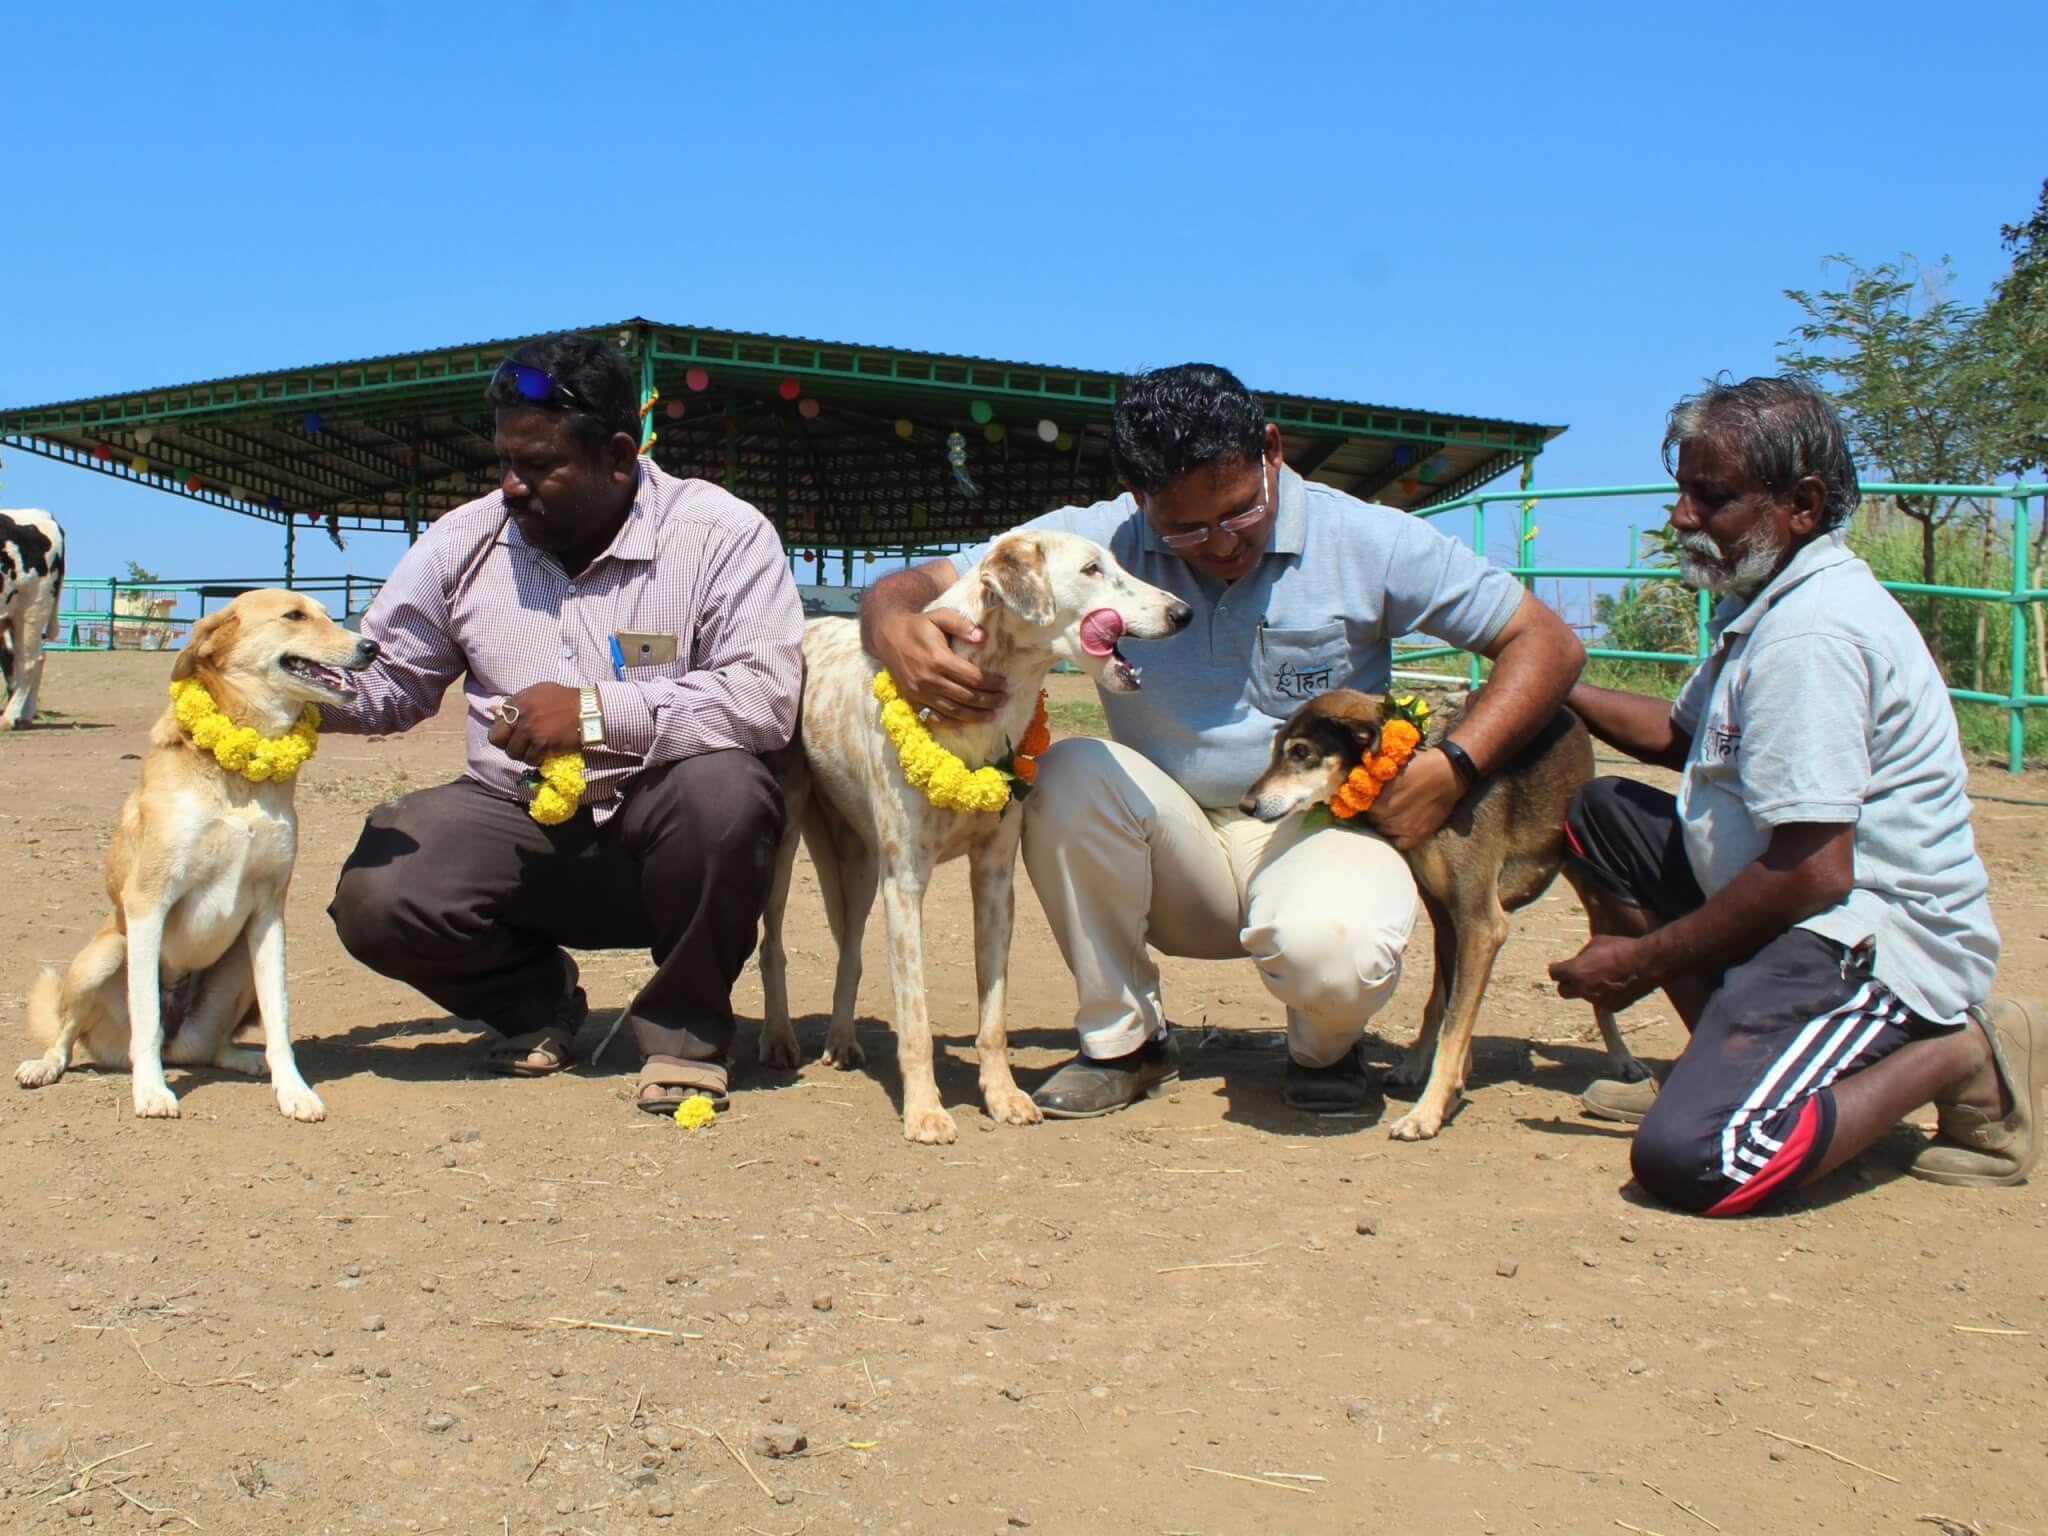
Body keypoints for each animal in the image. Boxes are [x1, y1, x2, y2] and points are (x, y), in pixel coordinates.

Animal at [761, 528, 1196, 1146]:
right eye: (1092, 569)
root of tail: (807, 627)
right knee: (771, 945)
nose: (1182, 612)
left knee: (851, 952)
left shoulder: (994, 879)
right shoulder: (906, 882)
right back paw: (778, 1038)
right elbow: (915, 1019)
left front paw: (1004, 1096)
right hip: (790, 845)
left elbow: (993, 1017)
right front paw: (924, 1112)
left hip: (860, 862)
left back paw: (842, 1040)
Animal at [1228, 692, 1646, 1138]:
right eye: (1276, 750)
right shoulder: (1448, 915)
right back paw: (1413, 1067)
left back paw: (1623, 1059)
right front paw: (1447, 1087)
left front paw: (1426, 1113)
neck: (1410, 759)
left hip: (1594, 898)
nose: (1247, 804)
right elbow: (1447, 1011)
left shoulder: (1481, 924)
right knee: (1438, 1000)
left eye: (1301, 752)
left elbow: (1455, 1025)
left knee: (1601, 987)